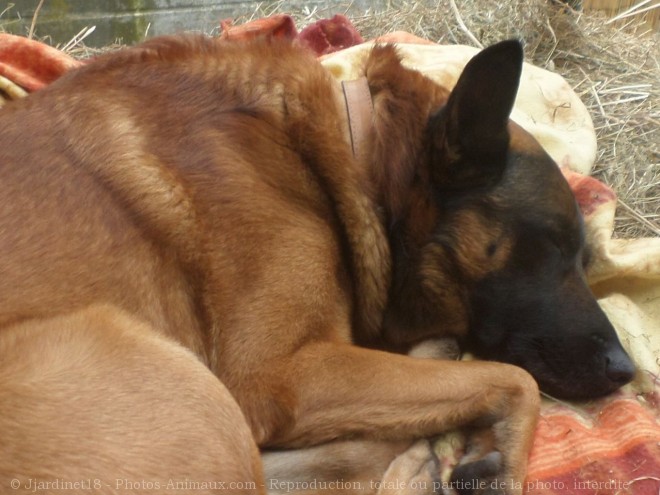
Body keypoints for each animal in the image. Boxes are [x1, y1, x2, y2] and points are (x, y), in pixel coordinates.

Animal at [0, 34, 636, 492]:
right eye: (552, 245)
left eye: (583, 254)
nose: (626, 369)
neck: (347, 153)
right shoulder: (280, 376)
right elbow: (515, 378)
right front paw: (503, 460)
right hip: (166, 373)